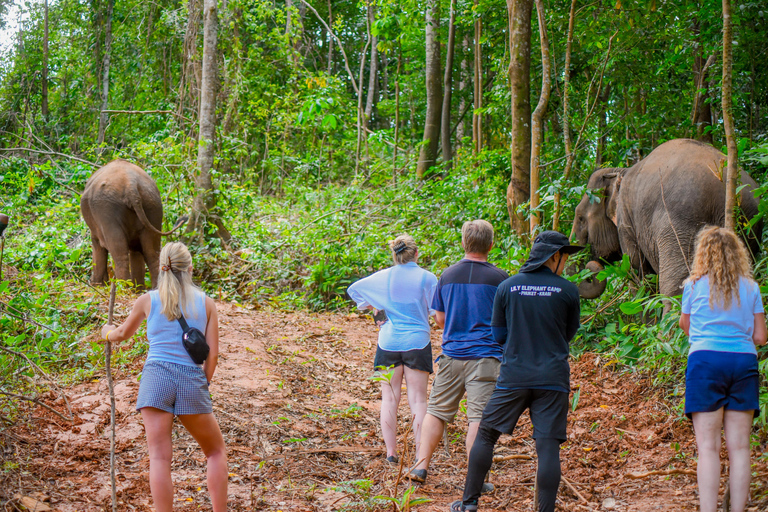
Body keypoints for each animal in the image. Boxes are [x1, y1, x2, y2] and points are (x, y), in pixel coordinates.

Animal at [80, 159, 186, 288]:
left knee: (119, 253)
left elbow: (97, 245)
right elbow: (137, 249)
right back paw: (150, 288)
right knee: (152, 252)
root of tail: (131, 186)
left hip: (106, 209)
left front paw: (97, 285)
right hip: (153, 205)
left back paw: (124, 288)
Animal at [570, 138, 763, 299]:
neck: (620, 171)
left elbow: (640, 275)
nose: (589, 267)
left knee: (673, 283)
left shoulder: (626, 222)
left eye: (580, 218)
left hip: (678, 224)